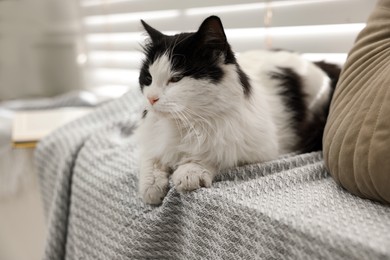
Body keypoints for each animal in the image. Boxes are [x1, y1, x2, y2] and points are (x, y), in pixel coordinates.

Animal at [136, 15, 340, 205]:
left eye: (176, 79)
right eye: (148, 78)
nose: (151, 98)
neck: (184, 125)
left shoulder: (253, 150)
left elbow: (214, 154)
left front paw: (190, 172)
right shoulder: (153, 142)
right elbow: (151, 161)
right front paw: (152, 186)